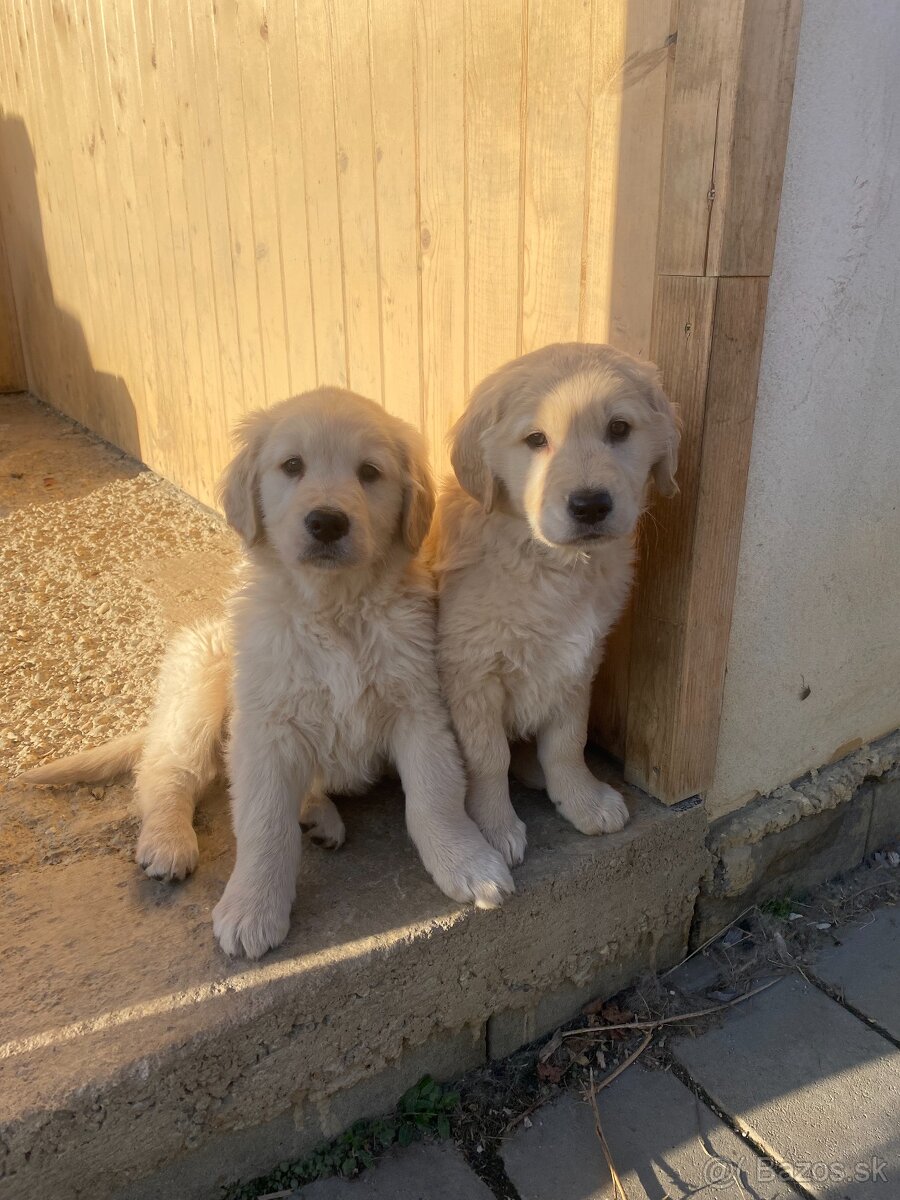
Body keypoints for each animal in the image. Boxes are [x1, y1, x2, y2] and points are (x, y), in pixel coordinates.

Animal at [24, 391, 513, 955]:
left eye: (370, 472)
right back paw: (167, 841)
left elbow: (436, 797)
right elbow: (263, 825)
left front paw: (467, 863)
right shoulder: (266, 729)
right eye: (292, 466)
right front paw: (252, 907)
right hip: (199, 693)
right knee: (166, 774)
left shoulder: (419, 708)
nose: (327, 522)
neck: (333, 610)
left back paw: (318, 814)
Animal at [427, 343, 681, 868]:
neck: (547, 563)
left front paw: (581, 798)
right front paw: (493, 827)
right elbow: (487, 757)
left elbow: (568, 740)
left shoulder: (580, 657)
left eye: (619, 429)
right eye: (536, 439)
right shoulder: (470, 670)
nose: (590, 506)